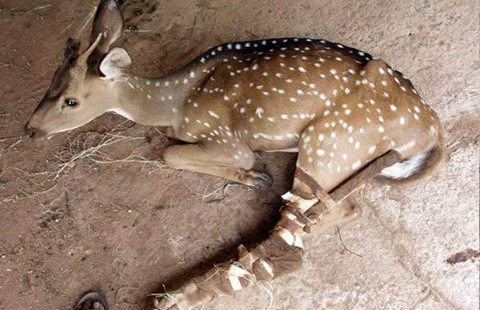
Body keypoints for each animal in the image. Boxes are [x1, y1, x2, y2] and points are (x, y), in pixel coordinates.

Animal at [25, 1, 446, 308]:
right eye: (48, 84)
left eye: (71, 101)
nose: (29, 129)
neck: (173, 105)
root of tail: (430, 131)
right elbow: (169, 148)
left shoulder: (228, 138)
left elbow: (171, 155)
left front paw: (253, 174)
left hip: (332, 143)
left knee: (307, 225)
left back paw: (177, 296)